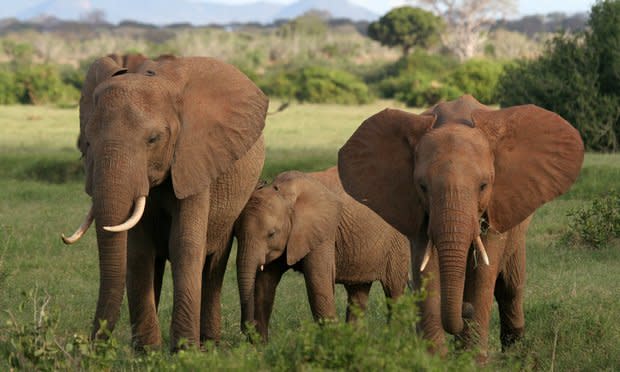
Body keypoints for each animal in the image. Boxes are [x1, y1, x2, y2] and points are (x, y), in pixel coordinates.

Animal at [60, 53, 268, 350]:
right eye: (87, 143)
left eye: (153, 139)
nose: (92, 345)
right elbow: (138, 251)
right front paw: (147, 352)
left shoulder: (195, 157)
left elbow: (185, 245)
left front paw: (184, 350)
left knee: (214, 263)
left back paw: (209, 343)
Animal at [235, 167, 410, 342]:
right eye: (235, 235)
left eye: (271, 234)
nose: (245, 328)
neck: (284, 192)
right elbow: (265, 285)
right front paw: (261, 346)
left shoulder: (323, 232)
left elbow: (318, 283)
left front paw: (331, 343)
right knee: (358, 294)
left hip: (399, 242)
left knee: (393, 291)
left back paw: (395, 339)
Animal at [336, 95, 584, 358]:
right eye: (422, 186)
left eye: (484, 185)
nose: (465, 310)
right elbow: (426, 268)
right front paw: (436, 359)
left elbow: (485, 272)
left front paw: (473, 360)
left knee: (510, 287)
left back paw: (513, 352)